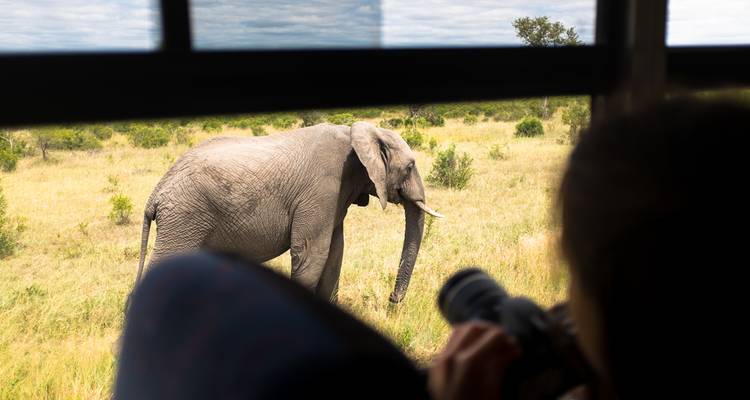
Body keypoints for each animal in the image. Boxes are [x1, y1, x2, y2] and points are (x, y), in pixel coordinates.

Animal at [135, 121, 443, 303]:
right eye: (410, 166)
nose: (393, 299)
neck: (357, 133)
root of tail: (156, 193)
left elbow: (335, 254)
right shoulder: (322, 189)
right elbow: (312, 254)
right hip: (184, 217)